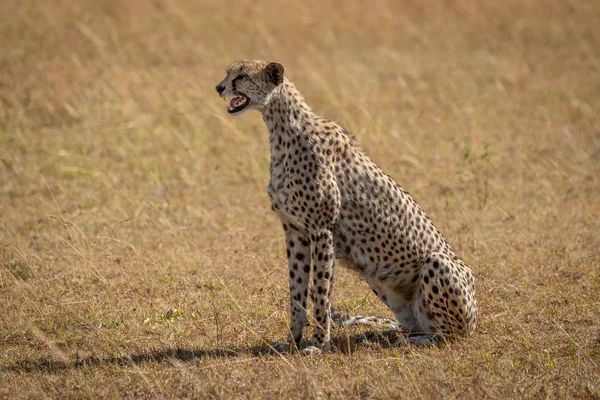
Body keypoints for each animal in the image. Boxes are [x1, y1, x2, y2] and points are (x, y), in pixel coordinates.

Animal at [216, 60, 478, 354]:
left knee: (449, 335)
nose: (219, 87)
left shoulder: (321, 229)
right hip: (379, 280)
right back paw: (386, 335)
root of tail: (474, 323)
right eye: (228, 73)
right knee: (414, 325)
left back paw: (413, 340)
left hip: (439, 264)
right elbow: (296, 290)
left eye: (242, 76)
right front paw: (293, 341)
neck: (282, 128)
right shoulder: (295, 231)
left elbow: (319, 291)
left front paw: (319, 345)